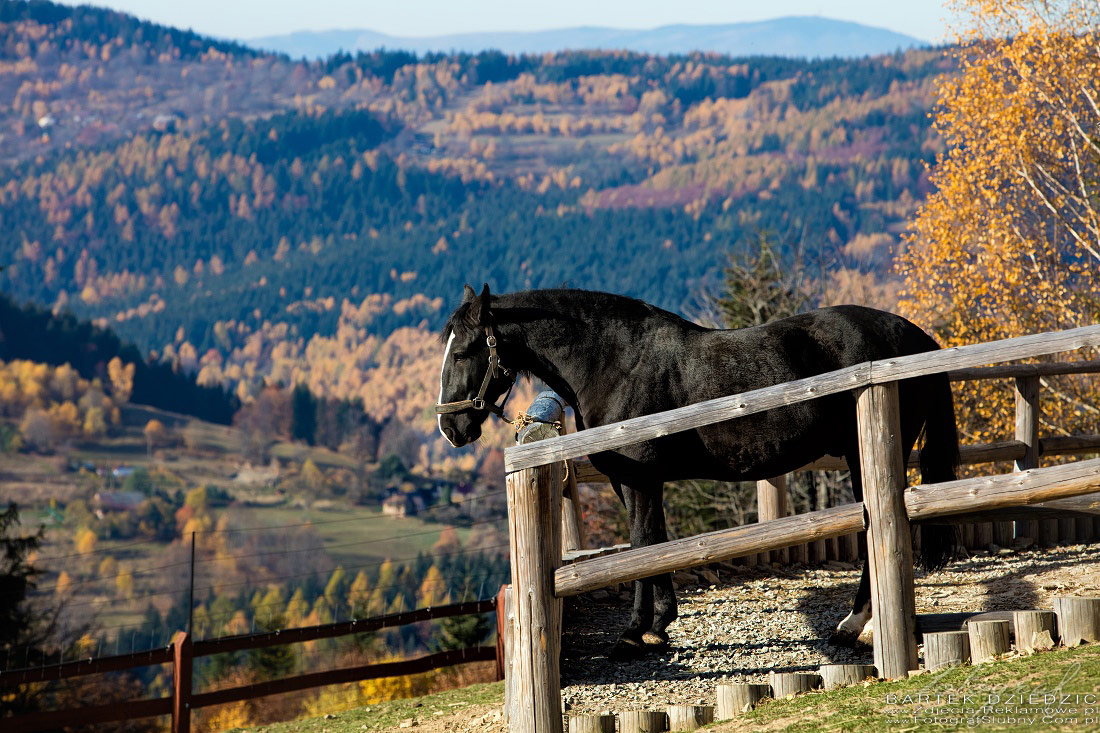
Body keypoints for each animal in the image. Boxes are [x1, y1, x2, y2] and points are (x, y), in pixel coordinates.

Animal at [433, 281, 959, 651]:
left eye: (462, 351)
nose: (449, 428)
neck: (614, 362)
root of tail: (916, 336)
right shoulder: (636, 483)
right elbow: (653, 544)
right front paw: (659, 624)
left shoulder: (640, 480)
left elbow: (642, 546)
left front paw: (635, 633)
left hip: (863, 452)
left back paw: (855, 623)